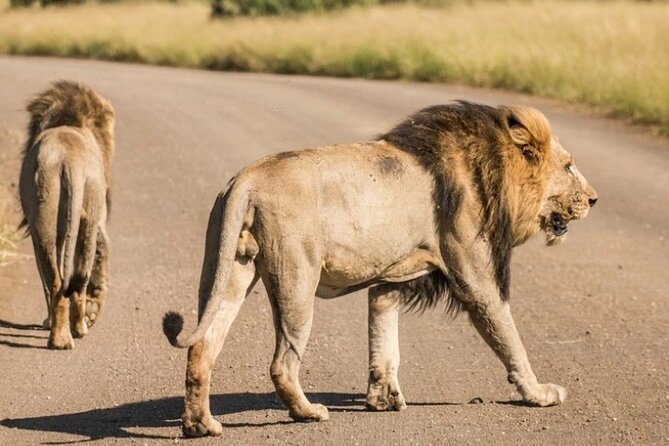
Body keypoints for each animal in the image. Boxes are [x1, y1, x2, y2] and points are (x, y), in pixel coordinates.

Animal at [18, 82, 115, 350]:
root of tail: (69, 161)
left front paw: (47, 321)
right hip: (86, 215)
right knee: (76, 280)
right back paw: (76, 330)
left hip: (46, 224)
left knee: (56, 281)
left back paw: (61, 335)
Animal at [160, 100, 596, 436]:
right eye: (569, 166)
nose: (594, 199)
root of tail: (245, 180)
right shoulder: (476, 278)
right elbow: (510, 339)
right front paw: (539, 393)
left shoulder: (391, 279)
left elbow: (383, 337)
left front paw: (383, 396)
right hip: (296, 280)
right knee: (282, 364)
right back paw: (308, 413)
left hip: (228, 270)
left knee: (202, 346)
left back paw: (200, 425)